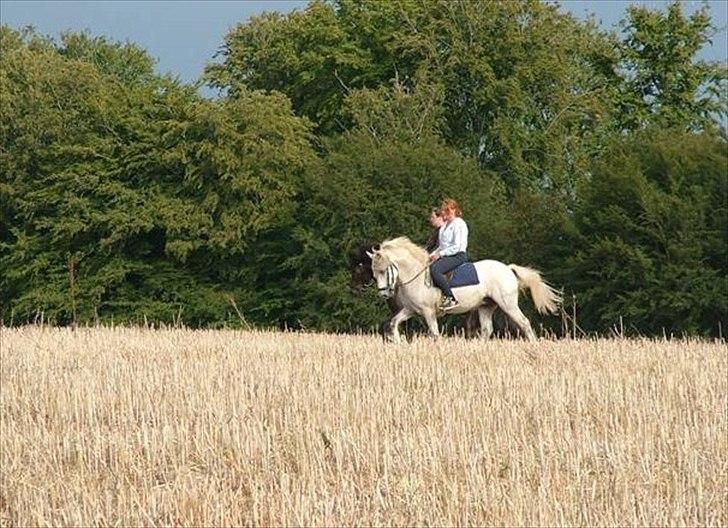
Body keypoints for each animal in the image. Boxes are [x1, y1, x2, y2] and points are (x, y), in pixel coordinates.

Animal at [370, 238, 564, 342]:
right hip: (486, 306)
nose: (383, 294)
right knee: (487, 330)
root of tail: (508, 269)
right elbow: (393, 323)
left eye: (383, 270)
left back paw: (533, 344)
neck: (414, 275)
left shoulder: (428, 312)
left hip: (507, 304)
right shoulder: (411, 310)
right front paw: (398, 342)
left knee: (524, 322)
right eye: (374, 272)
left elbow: (434, 333)